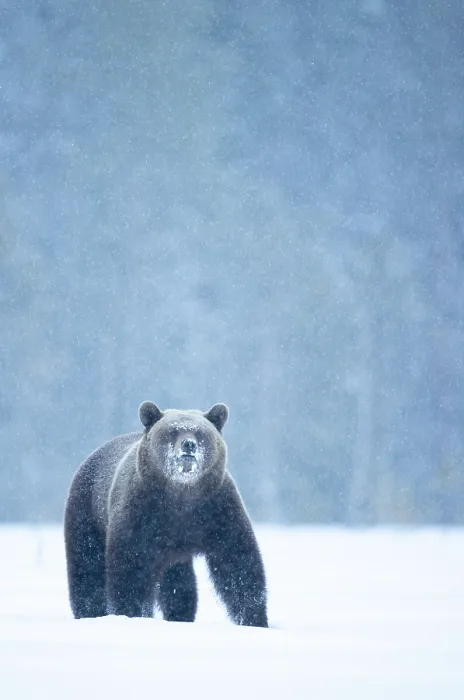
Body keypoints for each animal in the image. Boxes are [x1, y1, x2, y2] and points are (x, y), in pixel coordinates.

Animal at [64, 401, 268, 627]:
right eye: (173, 431)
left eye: (200, 433)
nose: (188, 444)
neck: (180, 494)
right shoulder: (139, 514)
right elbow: (129, 568)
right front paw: (129, 613)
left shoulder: (218, 510)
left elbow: (238, 562)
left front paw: (255, 619)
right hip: (87, 511)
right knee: (87, 567)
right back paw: (89, 612)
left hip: (175, 555)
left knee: (179, 584)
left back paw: (180, 616)